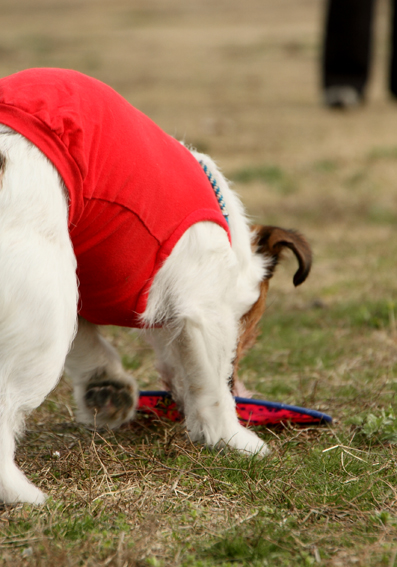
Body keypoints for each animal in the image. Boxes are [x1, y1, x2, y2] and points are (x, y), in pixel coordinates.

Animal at [0, 69, 310, 504]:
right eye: (243, 338)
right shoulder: (205, 306)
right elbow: (211, 387)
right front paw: (231, 438)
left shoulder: (80, 275)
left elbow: (87, 339)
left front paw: (105, 387)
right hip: (43, 312)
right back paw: (19, 491)